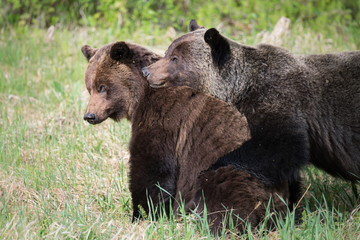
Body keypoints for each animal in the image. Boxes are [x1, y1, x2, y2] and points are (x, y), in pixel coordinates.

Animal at [81, 40, 290, 231]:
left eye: (102, 86)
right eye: (89, 87)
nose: (89, 116)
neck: (141, 97)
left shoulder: (165, 122)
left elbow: (152, 169)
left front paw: (142, 215)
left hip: (234, 171)